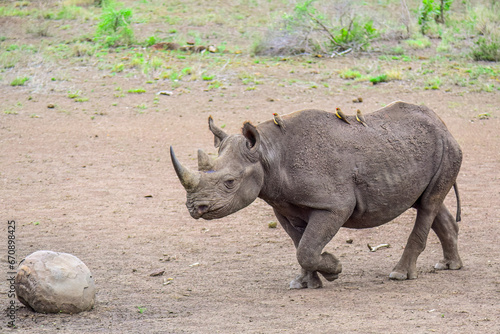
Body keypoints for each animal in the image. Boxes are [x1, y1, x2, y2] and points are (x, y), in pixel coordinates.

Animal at [170, 102, 462, 290]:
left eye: (230, 182)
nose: (195, 208)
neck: (267, 153)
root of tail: (443, 124)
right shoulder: (283, 206)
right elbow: (299, 244)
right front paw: (304, 283)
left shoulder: (334, 205)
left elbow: (307, 248)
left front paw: (334, 269)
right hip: (425, 149)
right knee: (428, 203)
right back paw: (449, 266)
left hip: (448, 147)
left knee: (428, 205)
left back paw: (399, 276)